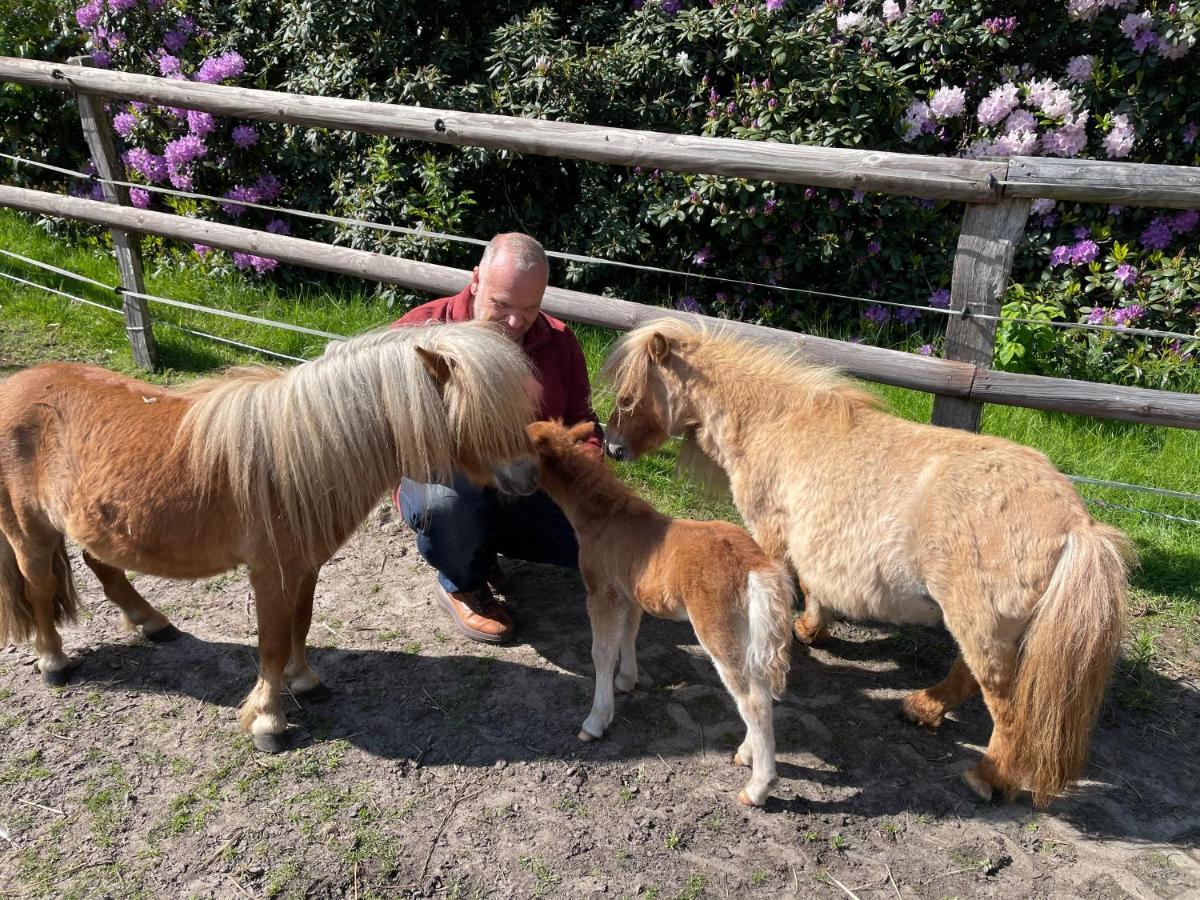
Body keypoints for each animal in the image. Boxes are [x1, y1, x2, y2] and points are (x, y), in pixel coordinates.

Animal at [0, 321, 535, 748]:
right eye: (482, 417)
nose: (530, 477)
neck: (300, 455)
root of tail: (14, 387)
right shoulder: (270, 574)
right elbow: (273, 643)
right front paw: (268, 721)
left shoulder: (305, 568)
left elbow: (301, 624)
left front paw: (304, 681)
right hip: (30, 533)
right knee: (40, 590)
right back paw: (53, 663)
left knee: (102, 567)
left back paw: (153, 623)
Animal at [528, 422, 796, 811]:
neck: (604, 518)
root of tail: (755, 564)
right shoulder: (629, 594)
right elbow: (628, 635)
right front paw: (627, 680)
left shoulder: (602, 592)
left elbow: (601, 653)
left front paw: (595, 722)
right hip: (748, 631)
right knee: (759, 685)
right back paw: (747, 753)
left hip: (717, 630)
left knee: (752, 698)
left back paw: (758, 788)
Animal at [600, 321, 1132, 816]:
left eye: (628, 394)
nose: (612, 448)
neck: (775, 421)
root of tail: (1078, 525)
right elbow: (813, 585)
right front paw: (812, 630)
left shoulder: (770, 537)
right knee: (967, 676)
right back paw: (921, 708)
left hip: (982, 627)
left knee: (1005, 707)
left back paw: (987, 778)